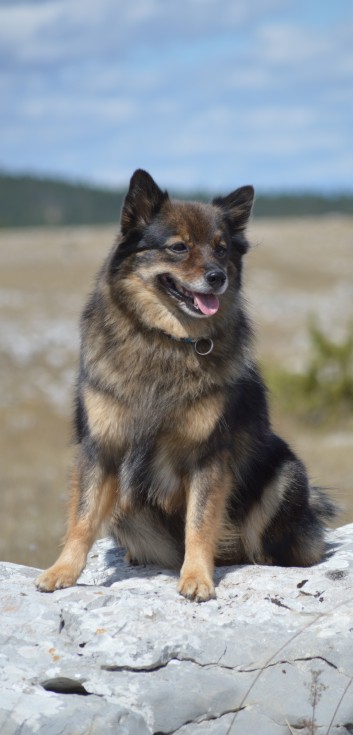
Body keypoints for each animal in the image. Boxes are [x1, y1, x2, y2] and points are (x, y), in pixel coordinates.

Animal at [35, 171, 332, 604]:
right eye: (179, 247)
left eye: (222, 250)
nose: (217, 277)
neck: (167, 341)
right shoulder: (102, 447)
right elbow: (83, 517)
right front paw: (62, 571)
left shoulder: (208, 455)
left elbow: (200, 522)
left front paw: (196, 578)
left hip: (286, 474)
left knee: (265, 547)